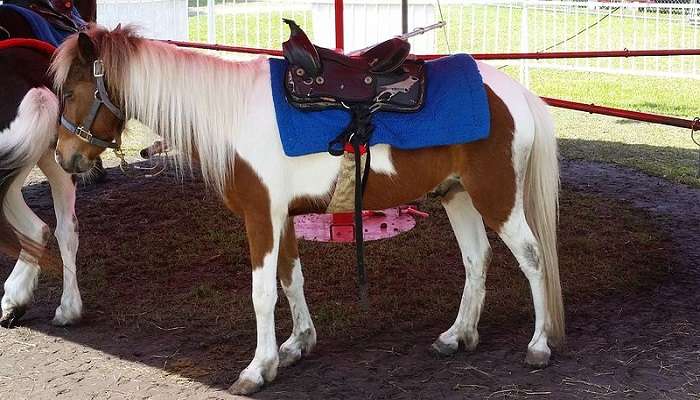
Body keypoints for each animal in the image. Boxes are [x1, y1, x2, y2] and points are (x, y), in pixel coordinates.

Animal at [50, 25, 564, 396]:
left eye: (71, 92)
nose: (64, 157)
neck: (233, 114)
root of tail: (516, 93)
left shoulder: (260, 217)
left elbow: (261, 293)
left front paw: (258, 368)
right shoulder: (283, 218)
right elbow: (290, 279)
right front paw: (297, 344)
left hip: (497, 196)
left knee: (533, 257)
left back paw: (539, 345)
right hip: (457, 195)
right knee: (477, 260)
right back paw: (457, 336)